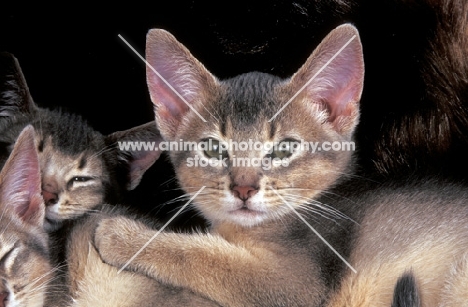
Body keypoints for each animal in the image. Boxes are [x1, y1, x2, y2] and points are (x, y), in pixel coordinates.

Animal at [93, 23, 468, 306]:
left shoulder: (297, 282)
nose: (244, 189)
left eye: (285, 148)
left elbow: (206, 258)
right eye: (213, 149)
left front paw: (125, 237)